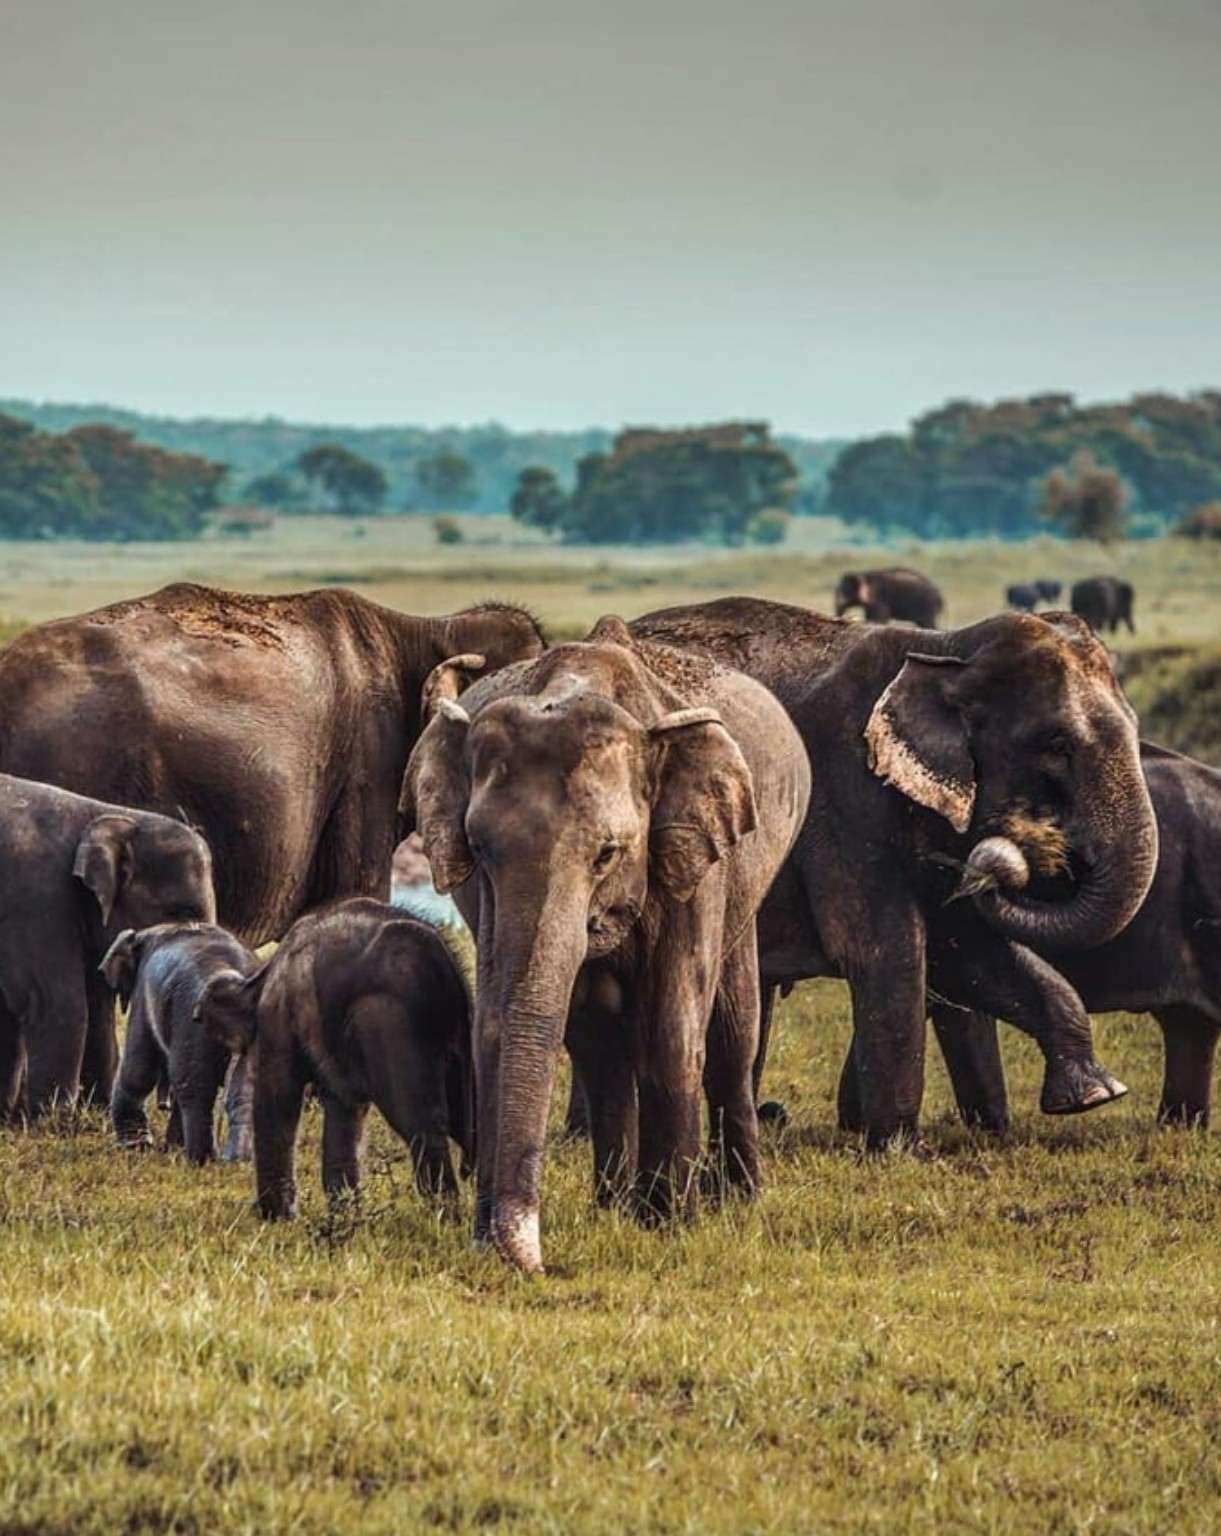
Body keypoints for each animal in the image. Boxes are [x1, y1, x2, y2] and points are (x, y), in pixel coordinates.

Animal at [0, 775, 216, 1118]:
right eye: (181, 912)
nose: (165, 1106)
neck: (105, 814)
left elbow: (97, 1009)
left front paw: (96, 1111)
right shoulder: (33, 900)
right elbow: (56, 1002)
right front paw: (56, 1121)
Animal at [101, 923, 260, 1162]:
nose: (162, 1105)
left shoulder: (142, 996)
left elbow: (138, 1069)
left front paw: (134, 1148)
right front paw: (169, 1147)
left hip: (190, 1019)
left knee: (193, 1085)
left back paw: (199, 1160)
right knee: (245, 1089)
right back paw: (237, 1161)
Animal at [197, 898, 474, 1217]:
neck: (261, 974)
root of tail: (443, 964)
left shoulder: (276, 1010)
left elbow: (279, 1093)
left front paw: (276, 1217)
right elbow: (344, 1109)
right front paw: (346, 1215)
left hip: (388, 1022)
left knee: (420, 1122)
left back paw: (443, 1215)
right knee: (465, 1116)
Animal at [401, 616, 811, 1273]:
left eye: (608, 853)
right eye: (480, 848)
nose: (525, 1259)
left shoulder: (690, 851)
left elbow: (672, 1029)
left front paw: (674, 1226)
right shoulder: (488, 897)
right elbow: (539, 1021)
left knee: (732, 1030)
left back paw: (736, 1199)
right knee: (603, 1047)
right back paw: (617, 1206)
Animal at [628, 596, 1158, 1145]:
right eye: (1056, 746)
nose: (996, 862)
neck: (944, 649)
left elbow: (967, 949)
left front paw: (1094, 1094)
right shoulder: (847, 797)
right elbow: (887, 951)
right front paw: (897, 1146)